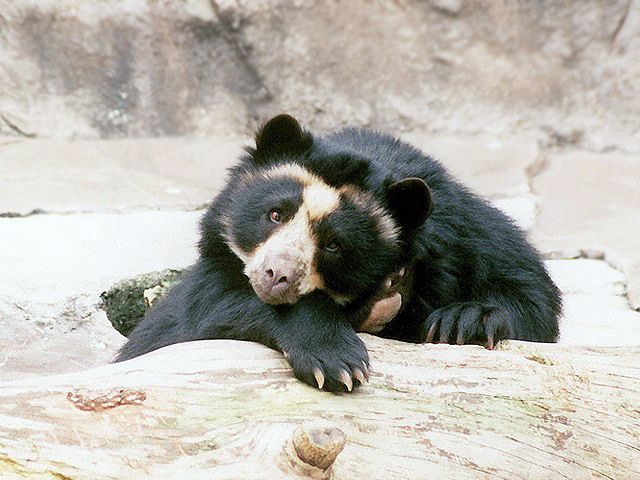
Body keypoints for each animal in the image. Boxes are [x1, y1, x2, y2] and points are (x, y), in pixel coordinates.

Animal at [116, 114, 562, 392]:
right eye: (275, 214)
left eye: (333, 244)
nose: (277, 276)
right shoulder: (210, 278)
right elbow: (191, 320)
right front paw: (338, 362)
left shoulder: (466, 232)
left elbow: (530, 295)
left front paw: (464, 321)